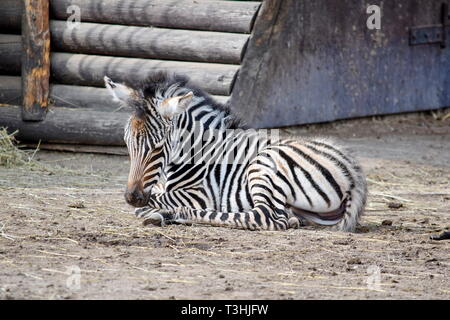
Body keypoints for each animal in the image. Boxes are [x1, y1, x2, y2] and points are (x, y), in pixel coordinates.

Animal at [107, 73, 368, 231]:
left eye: (158, 147)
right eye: (127, 143)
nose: (132, 197)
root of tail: (353, 174)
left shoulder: (199, 194)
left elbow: (156, 200)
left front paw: (155, 209)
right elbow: (155, 194)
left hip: (264, 165)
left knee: (264, 217)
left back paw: (172, 214)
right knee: (283, 217)